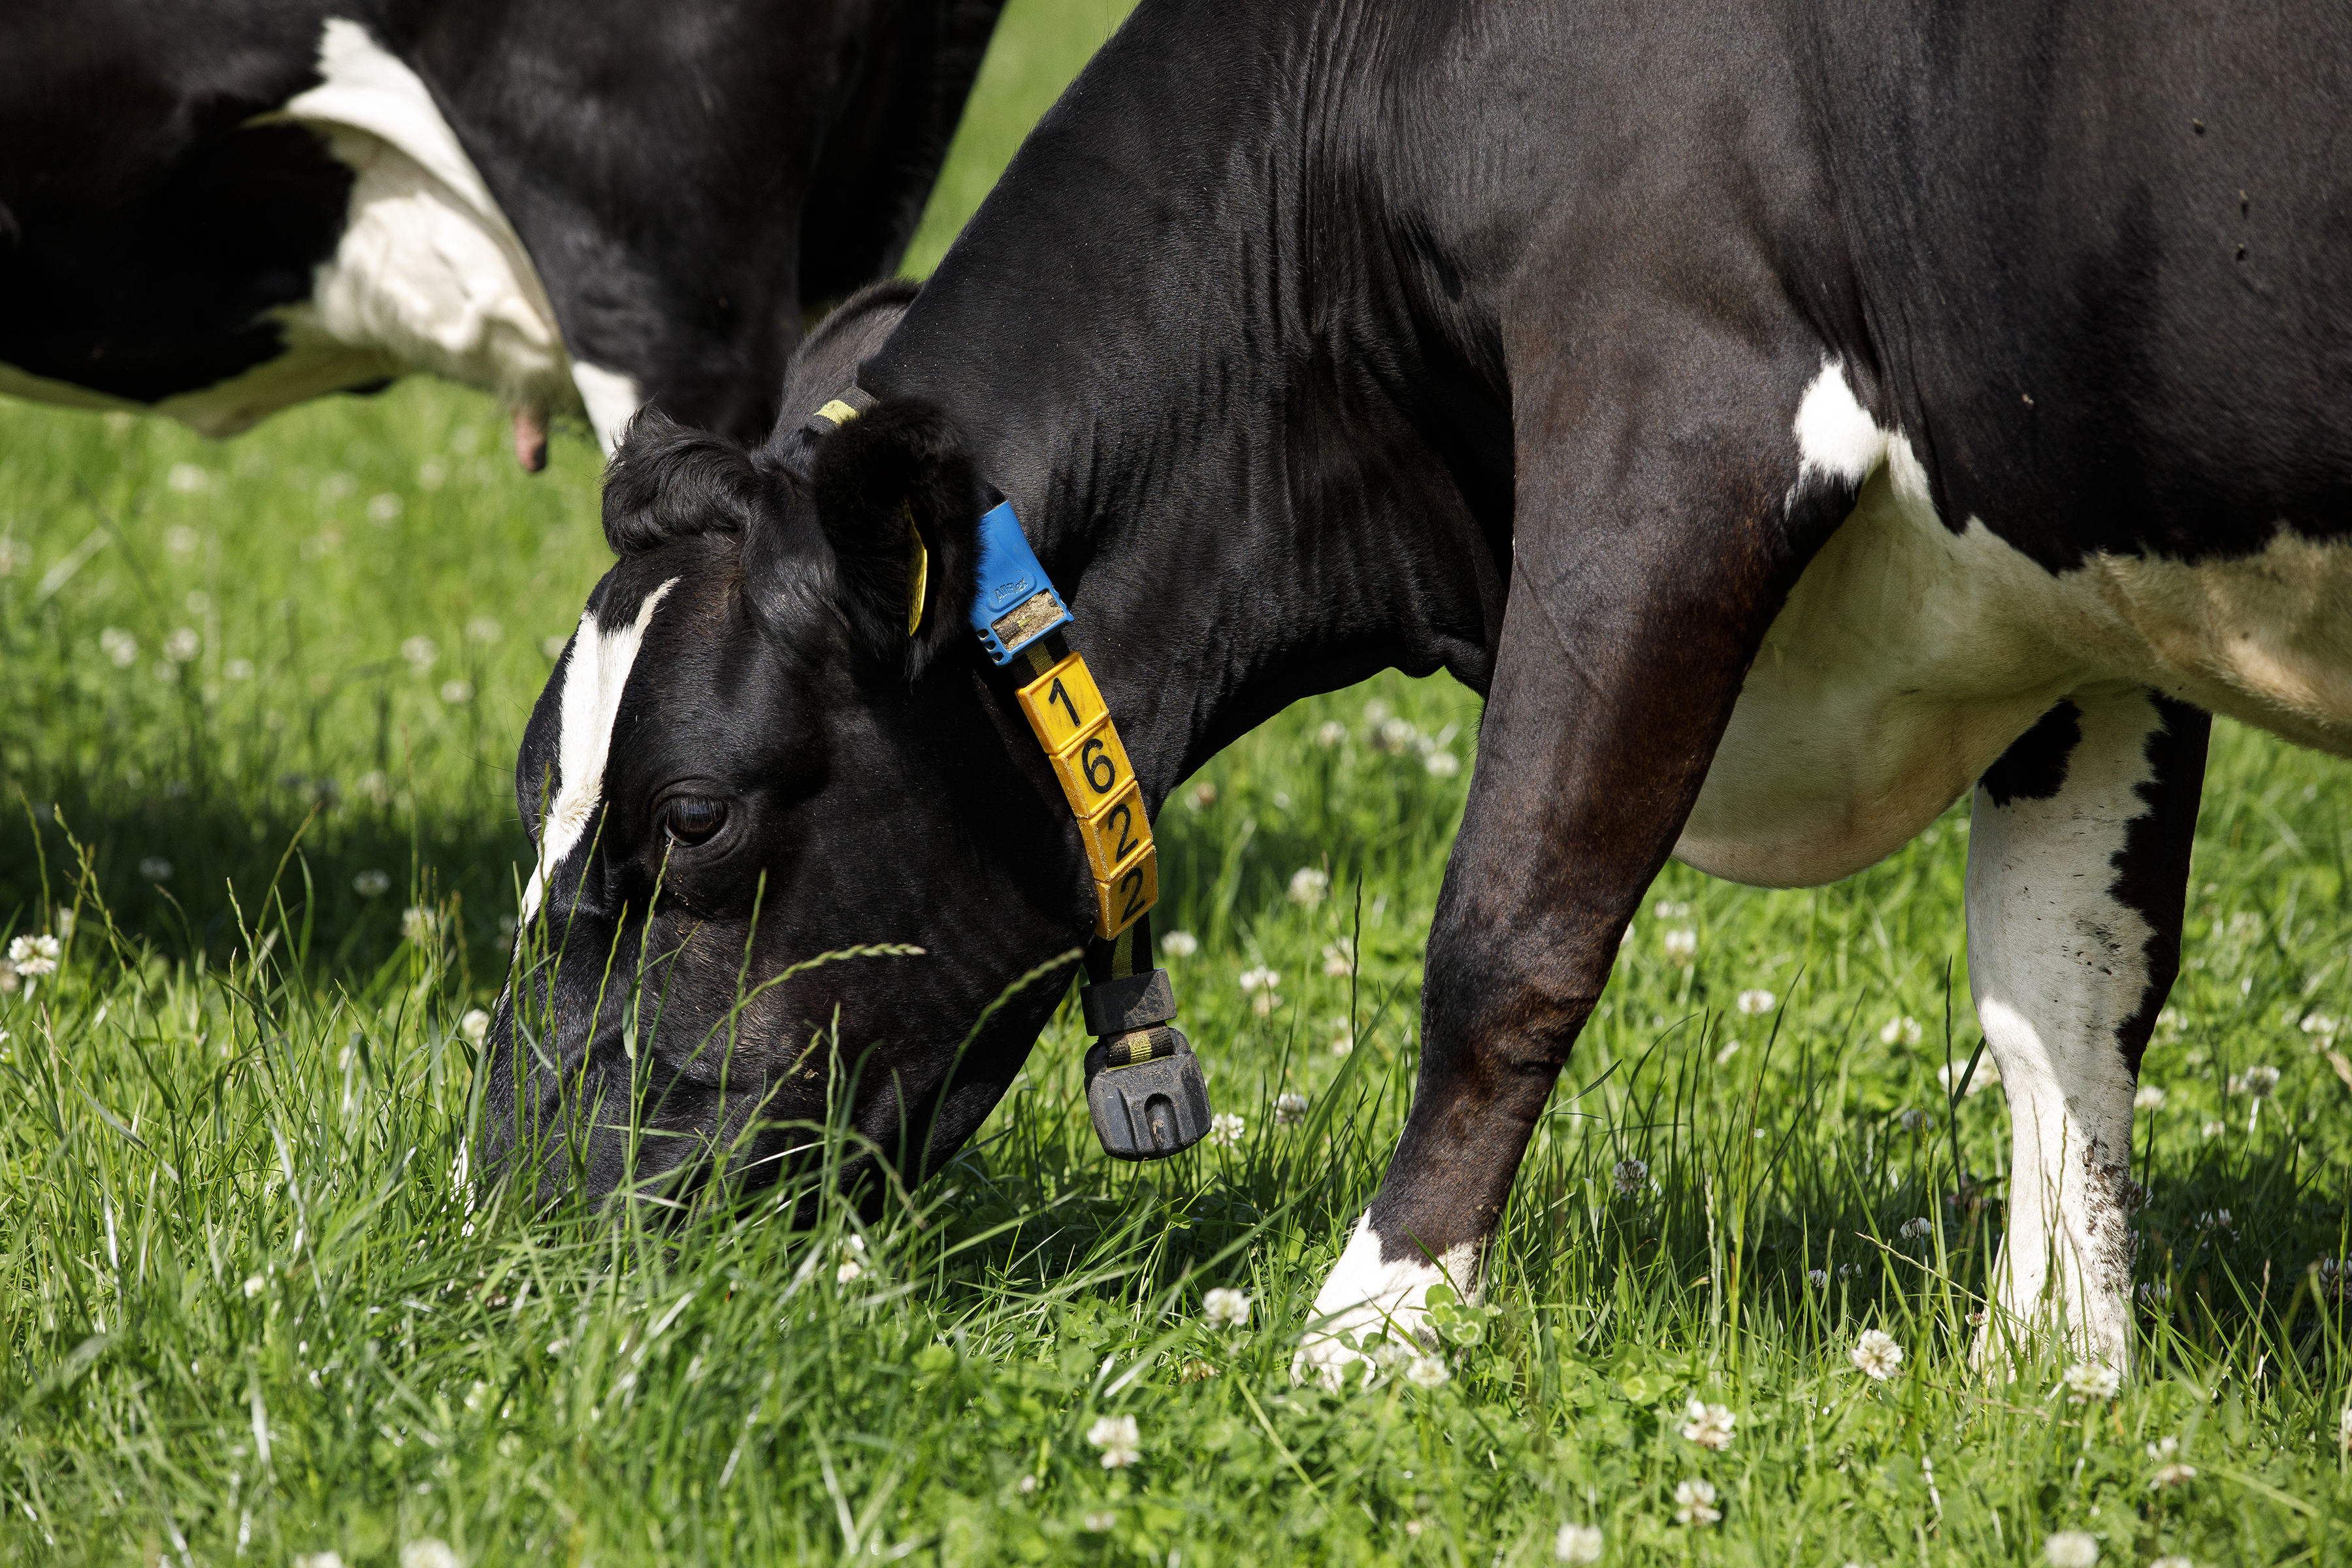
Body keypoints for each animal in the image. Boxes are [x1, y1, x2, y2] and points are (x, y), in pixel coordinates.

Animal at [479, 0, 2352, 1384]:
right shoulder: (2062, 557)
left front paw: (1371, 1327)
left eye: (695, 814)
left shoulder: (1668, 402)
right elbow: (2067, 979)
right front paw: (2051, 1374)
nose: (513, 1197)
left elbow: (1511, 924)